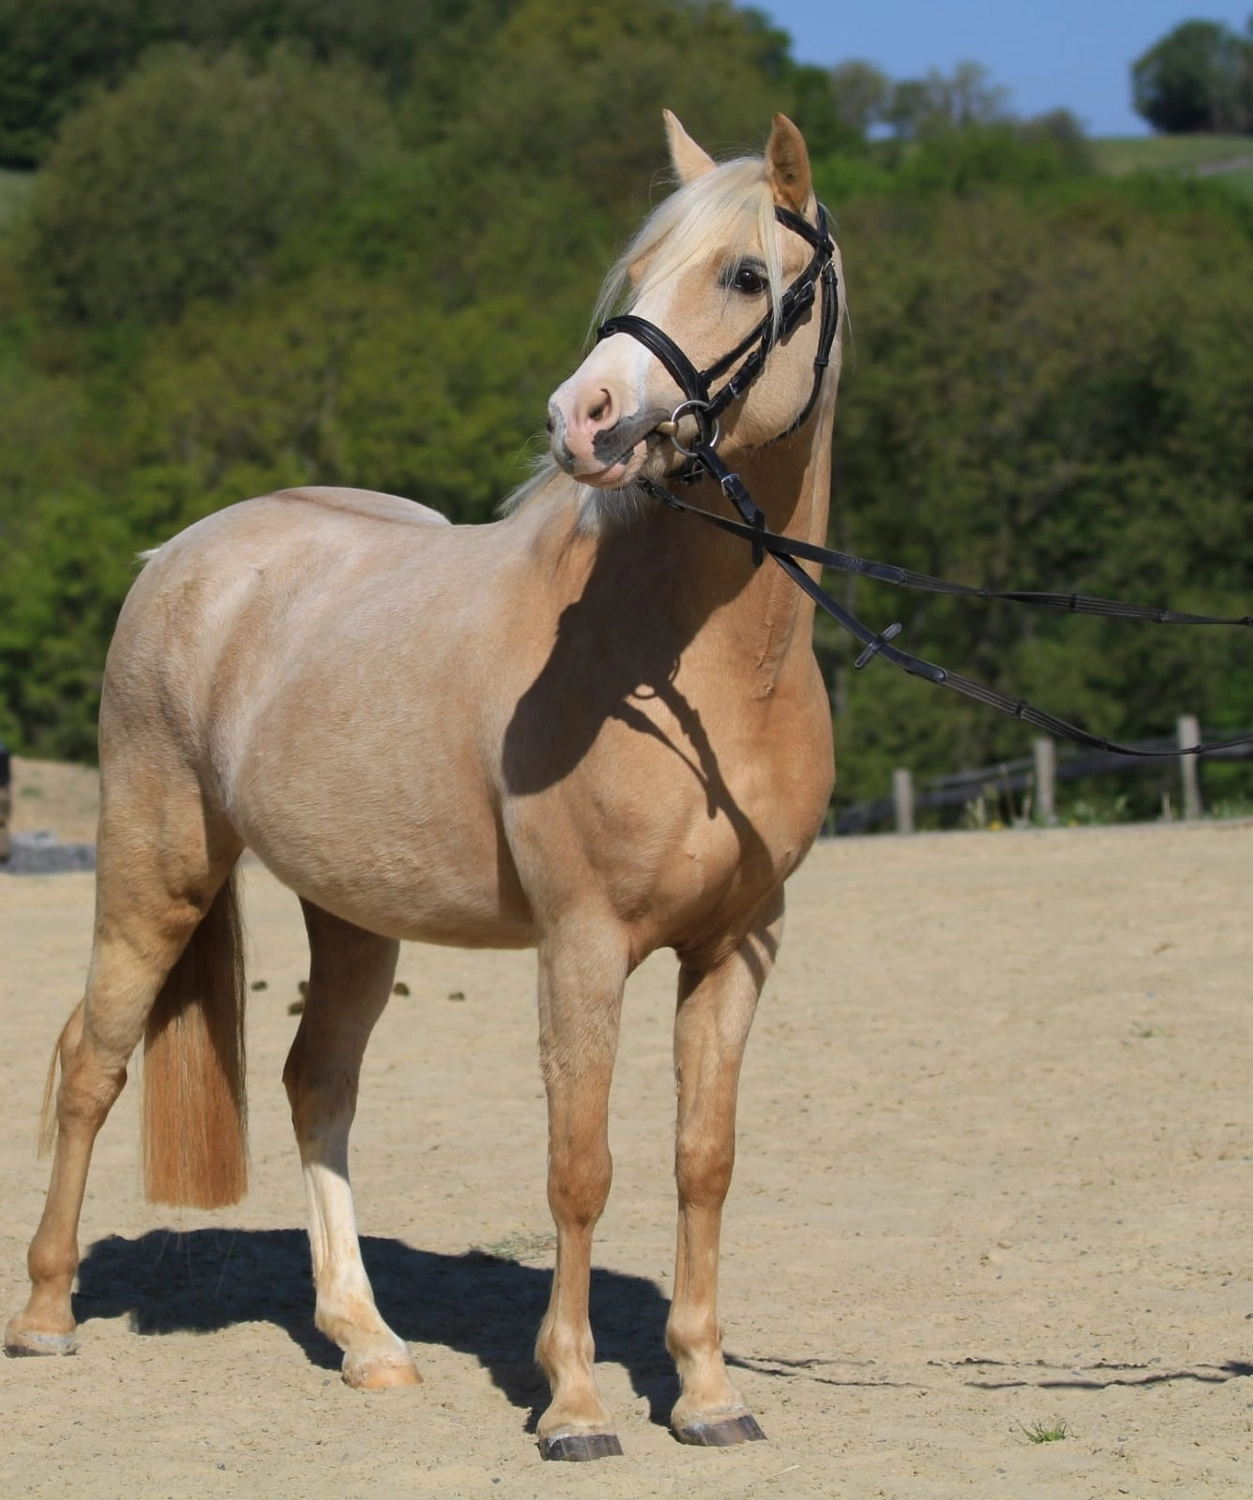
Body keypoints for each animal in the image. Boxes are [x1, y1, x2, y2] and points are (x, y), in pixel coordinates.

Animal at [5, 110, 844, 1462]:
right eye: (638, 266)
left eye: (742, 276)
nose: (584, 415)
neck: (694, 675)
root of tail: (179, 553)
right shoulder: (582, 944)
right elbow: (579, 1165)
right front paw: (573, 1406)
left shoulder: (737, 947)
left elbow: (701, 1161)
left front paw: (709, 1395)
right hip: (153, 872)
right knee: (93, 1059)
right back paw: (43, 1315)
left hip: (352, 917)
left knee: (314, 1086)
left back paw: (367, 1342)